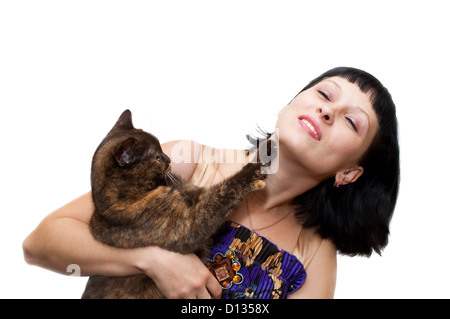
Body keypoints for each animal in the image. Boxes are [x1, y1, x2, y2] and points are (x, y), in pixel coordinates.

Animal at [81, 110, 268, 300]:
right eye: (157, 157)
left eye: (161, 148)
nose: (169, 159)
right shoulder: (189, 225)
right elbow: (223, 194)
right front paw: (252, 172)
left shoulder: (193, 193)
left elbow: (218, 189)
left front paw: (268, 147)